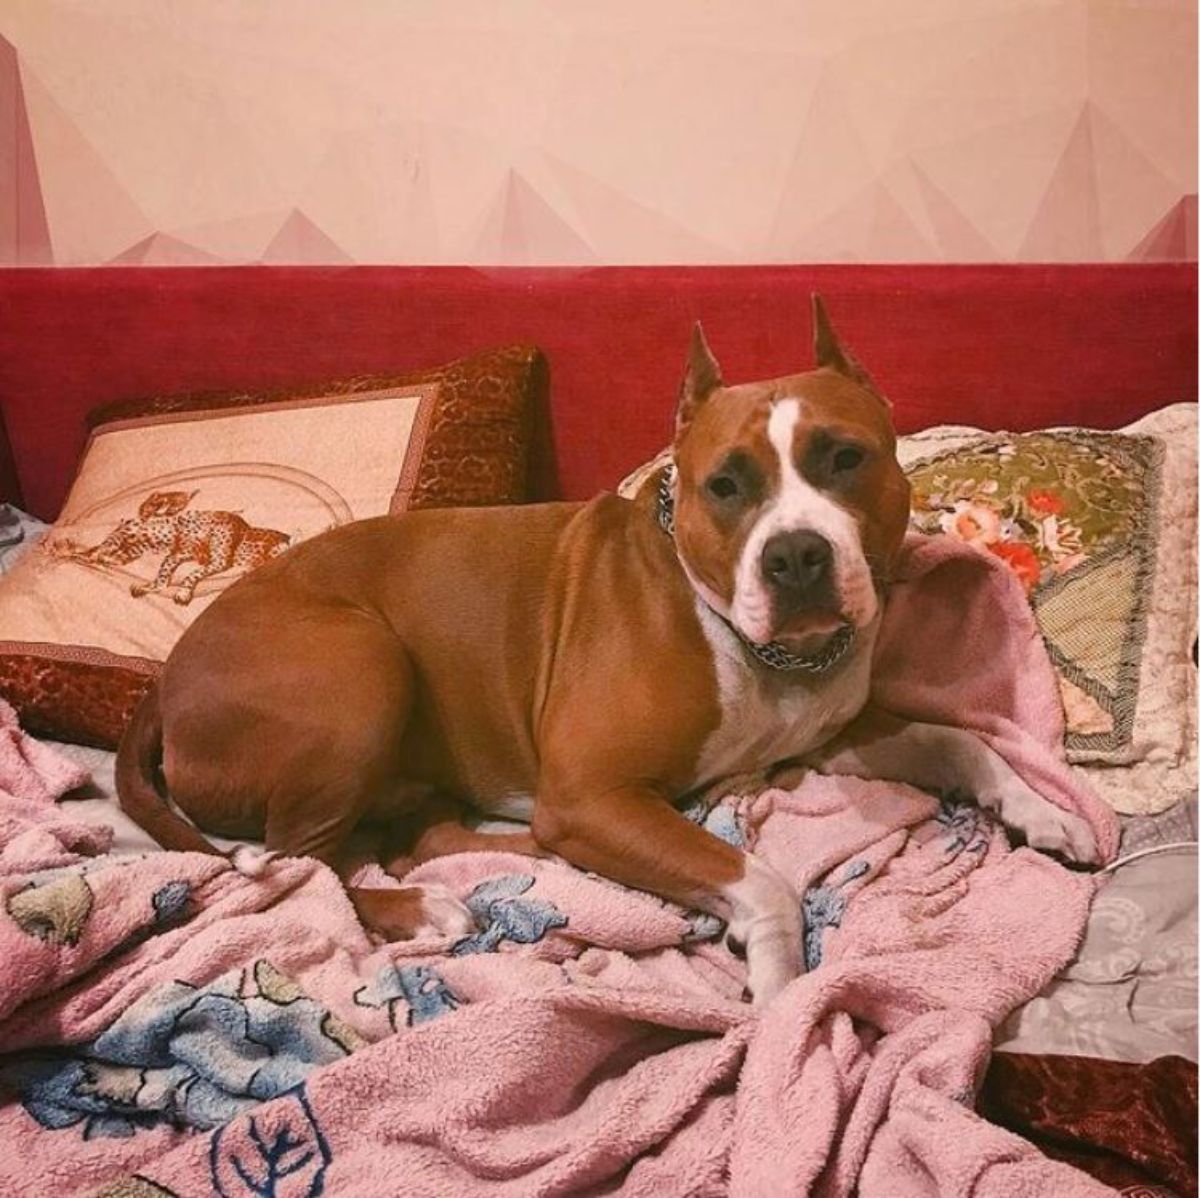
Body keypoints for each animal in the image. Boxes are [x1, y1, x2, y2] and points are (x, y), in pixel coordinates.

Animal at [117, 300, 1094, 1003]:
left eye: (844, 458)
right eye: (725, 485)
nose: (795, 557)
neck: (759, 655)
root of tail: (162, 687)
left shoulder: (832, 733)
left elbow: (959, 739)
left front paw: (1043, 812)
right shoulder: (594, 794)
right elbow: (767, 882)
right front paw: (781, 994)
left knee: (397, 839)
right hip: (363, 666)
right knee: (301, 868)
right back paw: (424, 900)